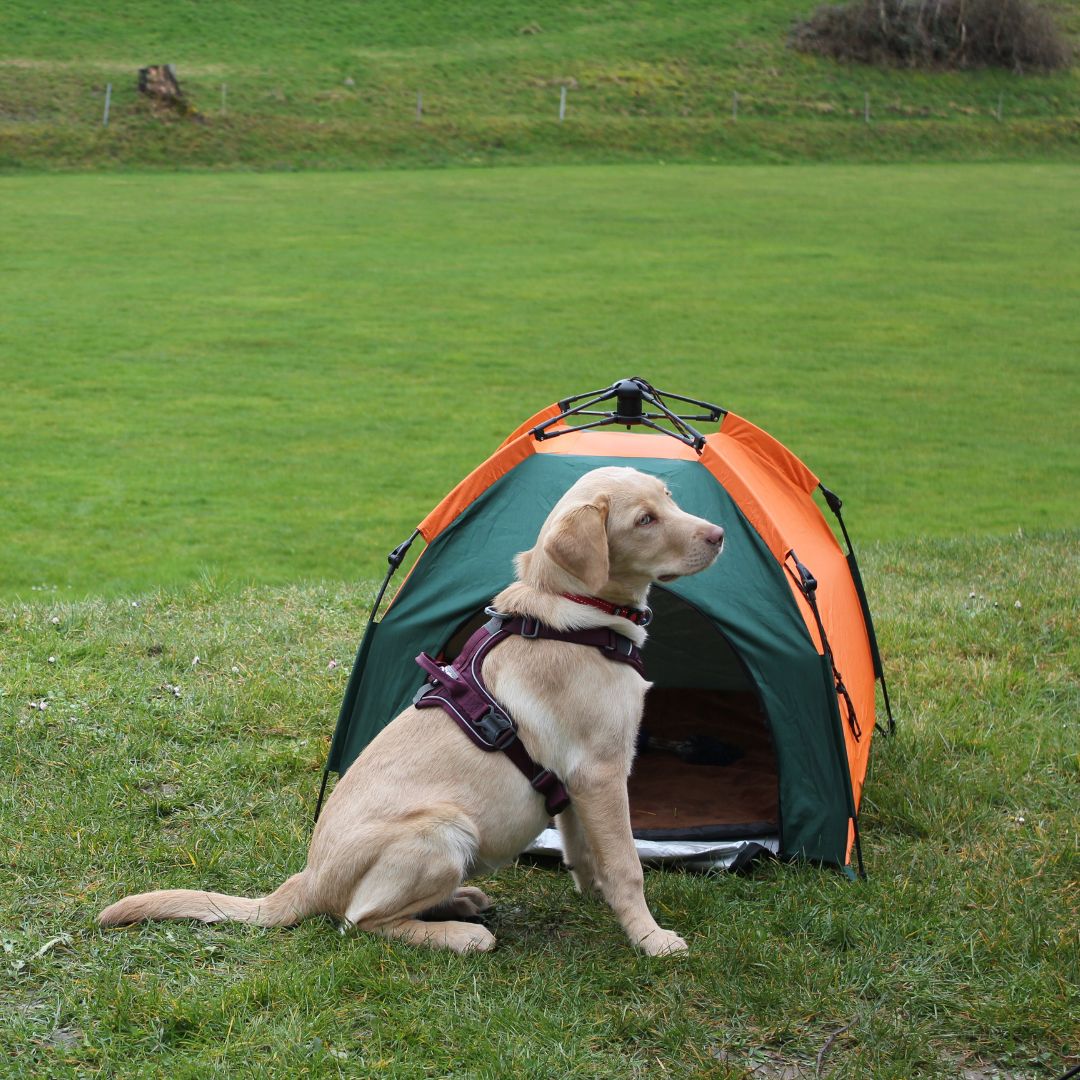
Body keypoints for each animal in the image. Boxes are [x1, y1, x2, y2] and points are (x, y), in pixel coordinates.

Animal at [99, 468, 725, 959]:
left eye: (668, 498)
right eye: (644, 520)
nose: (719, 535)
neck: (574, 613)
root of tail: (308, 880)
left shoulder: (574, 779)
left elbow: (583, 850)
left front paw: (595, 897)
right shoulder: (601, 770)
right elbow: (626, 864)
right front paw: (650, 938)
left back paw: (460, 903)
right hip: (444, 830)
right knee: (360, 920)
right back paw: (461, 934)